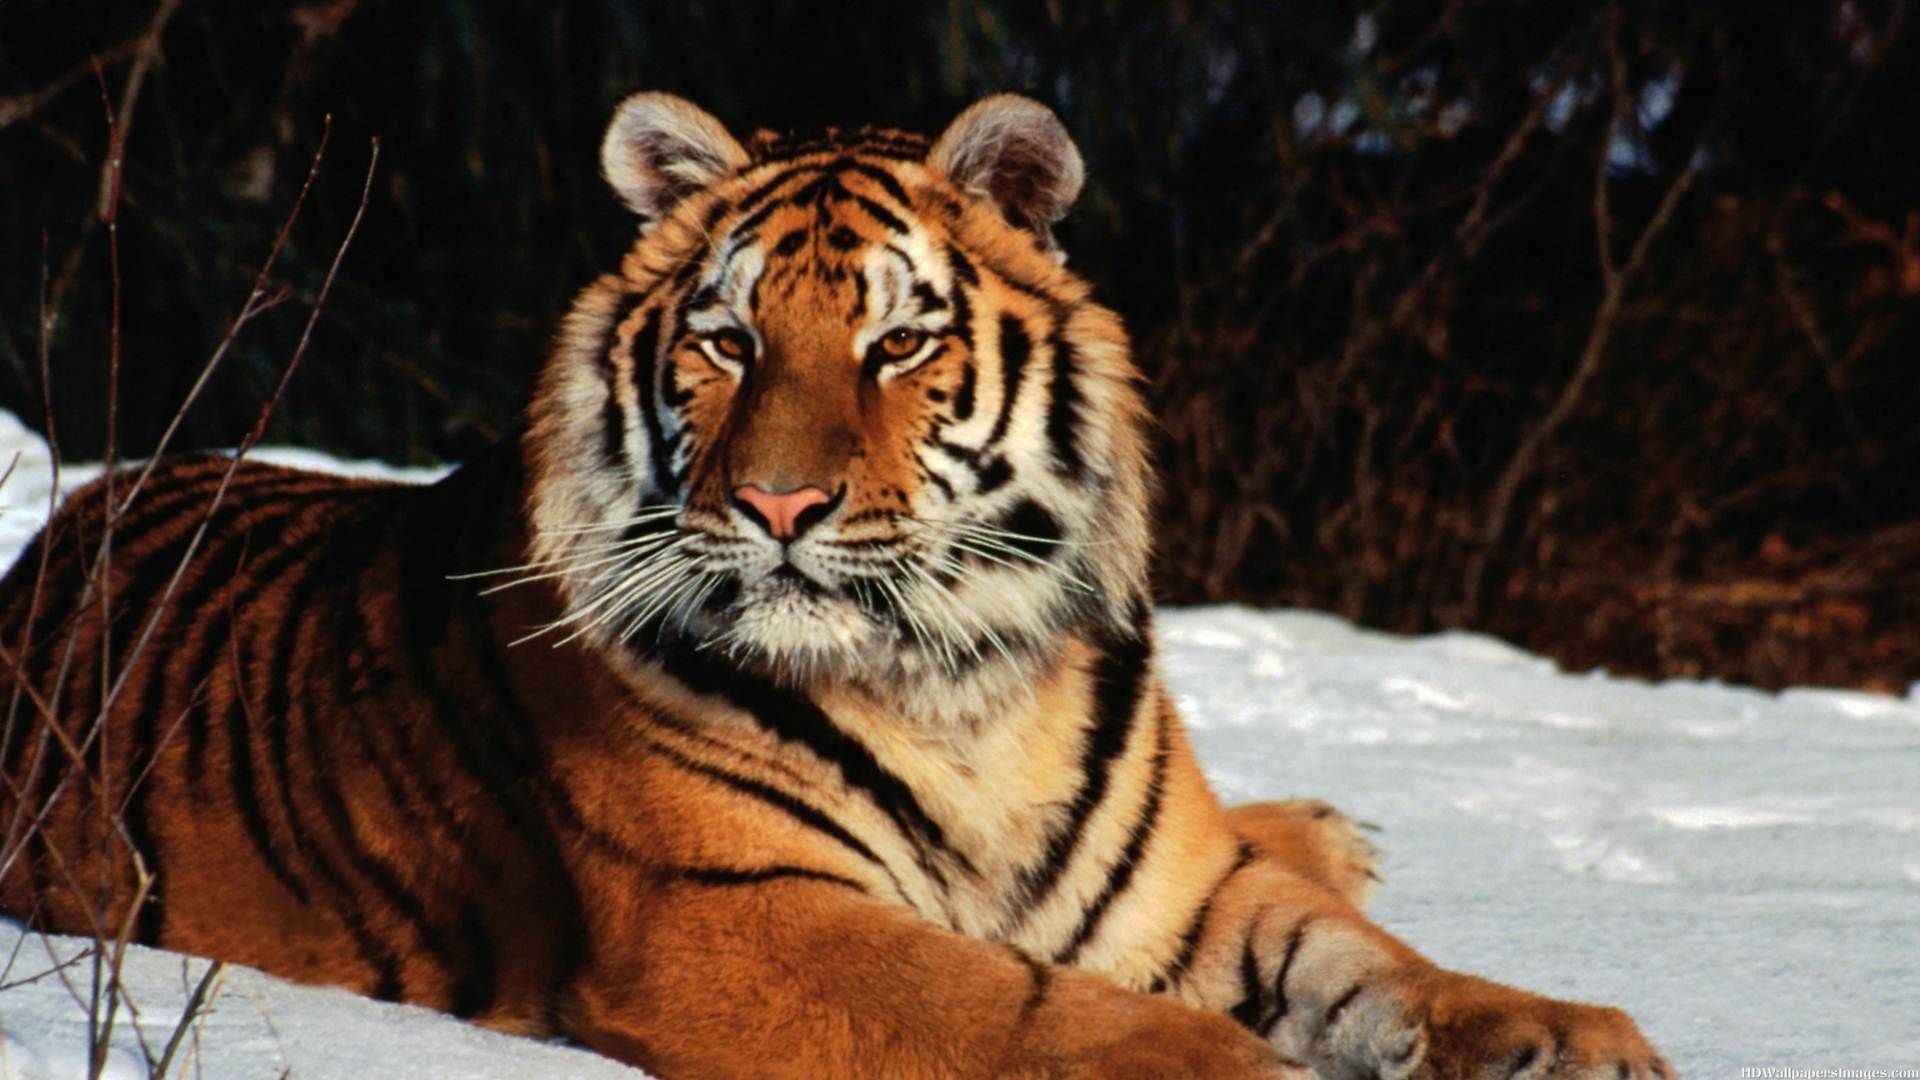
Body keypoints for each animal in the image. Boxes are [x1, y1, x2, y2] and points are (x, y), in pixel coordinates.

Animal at [0, 93, 1671, 1079]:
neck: (965, 685)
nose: (779, 503)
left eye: (897, 344)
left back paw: (1339, 828)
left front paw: (1570, 1034)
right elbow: (1037, 1011)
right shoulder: (743, 918)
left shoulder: (1184, 886)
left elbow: (1376, 967)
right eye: (729, 342)